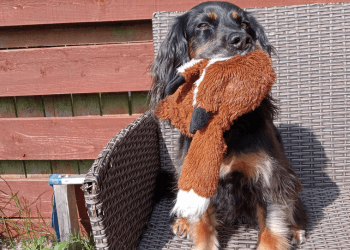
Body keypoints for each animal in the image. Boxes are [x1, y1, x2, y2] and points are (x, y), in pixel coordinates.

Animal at [149, 2, 308, 250]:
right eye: (203, 25)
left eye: (244, 24)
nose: (242, 40)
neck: (226, 126)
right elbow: (202, 224)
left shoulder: (269, 176)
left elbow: (272, 227)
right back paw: (182, 222)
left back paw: (295, 228)